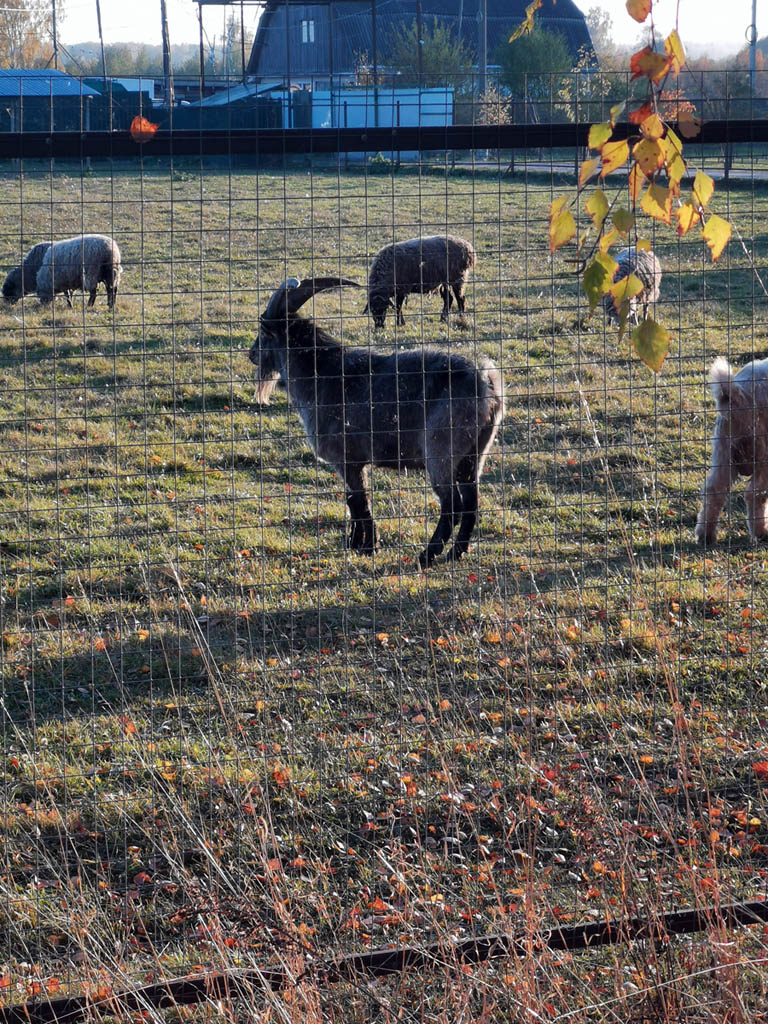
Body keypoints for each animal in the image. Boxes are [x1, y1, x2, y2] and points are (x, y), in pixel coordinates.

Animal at [249, 276, 507, 569]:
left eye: (263, 334)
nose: (251, 354)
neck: (322, 375)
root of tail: (486, 384)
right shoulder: (357, 461)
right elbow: (357, 500)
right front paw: (358, 543)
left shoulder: (346, 459)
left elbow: (358, 501)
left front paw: (367, 546)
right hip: (473, 455)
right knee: (472, 501)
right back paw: (457, 552)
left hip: (441, 453)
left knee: (452, 504)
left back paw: (427, 555)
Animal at [696, 358, 768, 548]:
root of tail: (737, 392)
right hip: (762, 452)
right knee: (755, 494)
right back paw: (761, 533)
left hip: (723, 450)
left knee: (714, 490)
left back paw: (705, 536)